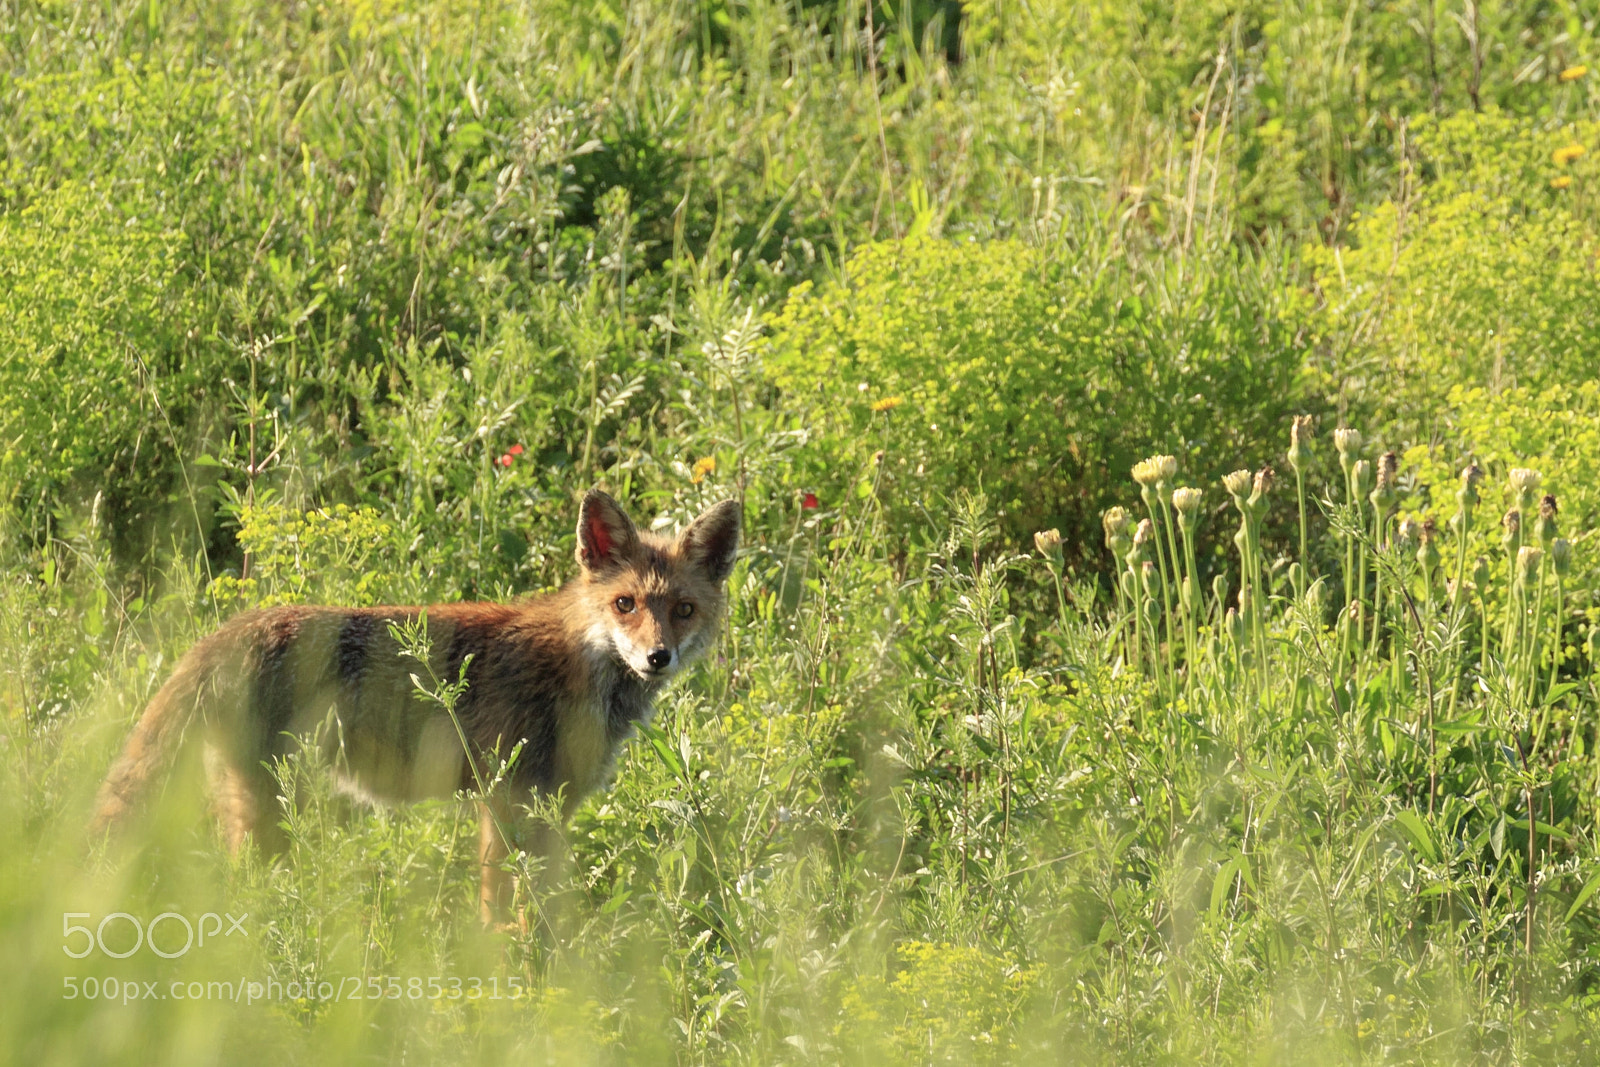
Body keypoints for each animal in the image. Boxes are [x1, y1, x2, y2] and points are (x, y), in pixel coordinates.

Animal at [90, 490, 740, 924]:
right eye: (625, 604)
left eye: (683, 609)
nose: (657, 657)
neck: (577, 663)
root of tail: (224, 631)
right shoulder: (507, 804)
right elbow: (508, 919)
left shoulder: (547, 812)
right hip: (268, 818)